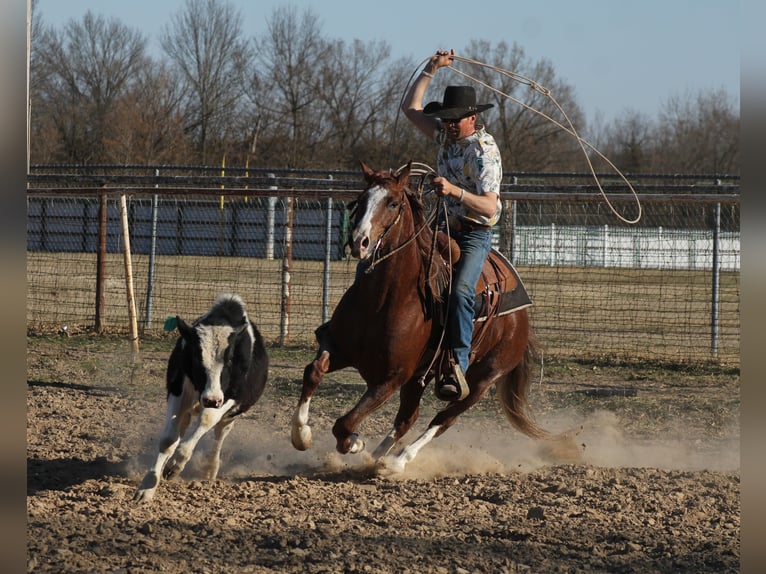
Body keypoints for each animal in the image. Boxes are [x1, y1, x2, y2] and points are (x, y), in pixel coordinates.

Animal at [134, 293, 269, 502]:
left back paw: (210, 470)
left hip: (229, 416)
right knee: (182, 429)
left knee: (218, 436)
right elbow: (168, 441)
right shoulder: (178, 391)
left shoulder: (231, 397)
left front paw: (175, 465)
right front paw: (147, 487)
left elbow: (206, 420)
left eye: (229, 359)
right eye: (197, 359)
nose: (211, 400)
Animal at [291, 161, 549, 474]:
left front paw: (355, 442)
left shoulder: (391, 378)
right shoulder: (339, 347)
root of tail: (521, 319)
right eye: (361, 200)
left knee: (442, 420)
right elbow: (313, 372)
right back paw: (377, 459)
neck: (383, 299)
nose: (359, 242)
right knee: (407, 419)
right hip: (420, 378)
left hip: (482, 380)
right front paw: (302, 435)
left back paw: (398, 461)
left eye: (392, 203)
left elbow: (344, 424)